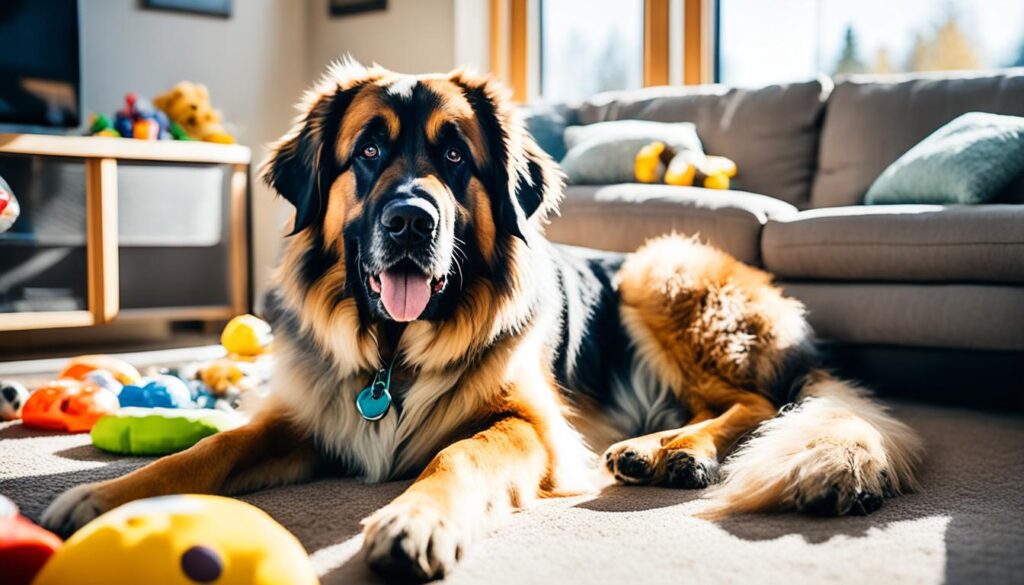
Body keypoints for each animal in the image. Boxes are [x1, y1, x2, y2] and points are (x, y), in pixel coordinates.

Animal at [39, 63, 925, 581]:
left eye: (456, 157)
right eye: (368, 152)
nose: (411, 221)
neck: (393, 351)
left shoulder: (525, 421)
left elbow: (455, 454)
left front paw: (415, 520)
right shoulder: (308, 415)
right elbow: (215, 446)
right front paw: (114, 497)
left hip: (657, 266)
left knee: (756, 401)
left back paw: (676, 452)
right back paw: (650, 444)